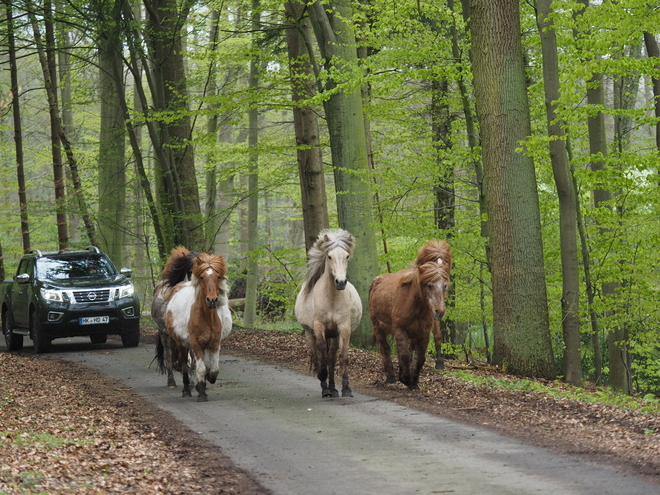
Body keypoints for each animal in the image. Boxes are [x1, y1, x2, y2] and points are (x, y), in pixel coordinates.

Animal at [153, 248, 232, 404]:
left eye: (218, 276)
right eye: (201, 277)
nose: (212, 300)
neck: (206, 318)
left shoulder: (215, 343)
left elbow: (213, 369)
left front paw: (207, 380)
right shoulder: (195, 343)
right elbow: (199, 368)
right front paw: (201, 392)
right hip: (175, 340)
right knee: (178, 360)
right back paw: (183, 388)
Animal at [296, 230, 364, 400]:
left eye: (346, 256)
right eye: (329, 256)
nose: (340, 282)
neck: (332, 298)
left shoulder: (344, 328)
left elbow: (343, 356)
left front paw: (346, 388)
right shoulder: (319, 326)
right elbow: (321, 354)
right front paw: (322, 379)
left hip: (334, 335)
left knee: (332, 357)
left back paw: (333, 388)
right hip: (309, 333)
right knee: (318, 355)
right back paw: (326, 388)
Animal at [368, 240, 452, 392]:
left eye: (444, 286)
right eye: (429, 285)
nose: (439, 311)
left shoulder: (423, 333)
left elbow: (419, 358)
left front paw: (414, 381)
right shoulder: (400, 330)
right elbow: (405, 355)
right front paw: (406, 379)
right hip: (378, 326)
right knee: (385, 348)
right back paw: (391, 377)